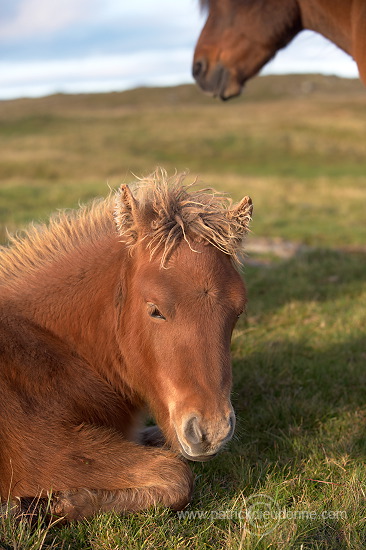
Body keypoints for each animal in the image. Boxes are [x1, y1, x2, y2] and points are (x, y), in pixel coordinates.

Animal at [0, 171, 252, 520]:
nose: (211, 431)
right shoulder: (43, 455)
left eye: (237, 311)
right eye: (155, 310)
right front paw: (42, 506)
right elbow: (177, 476)